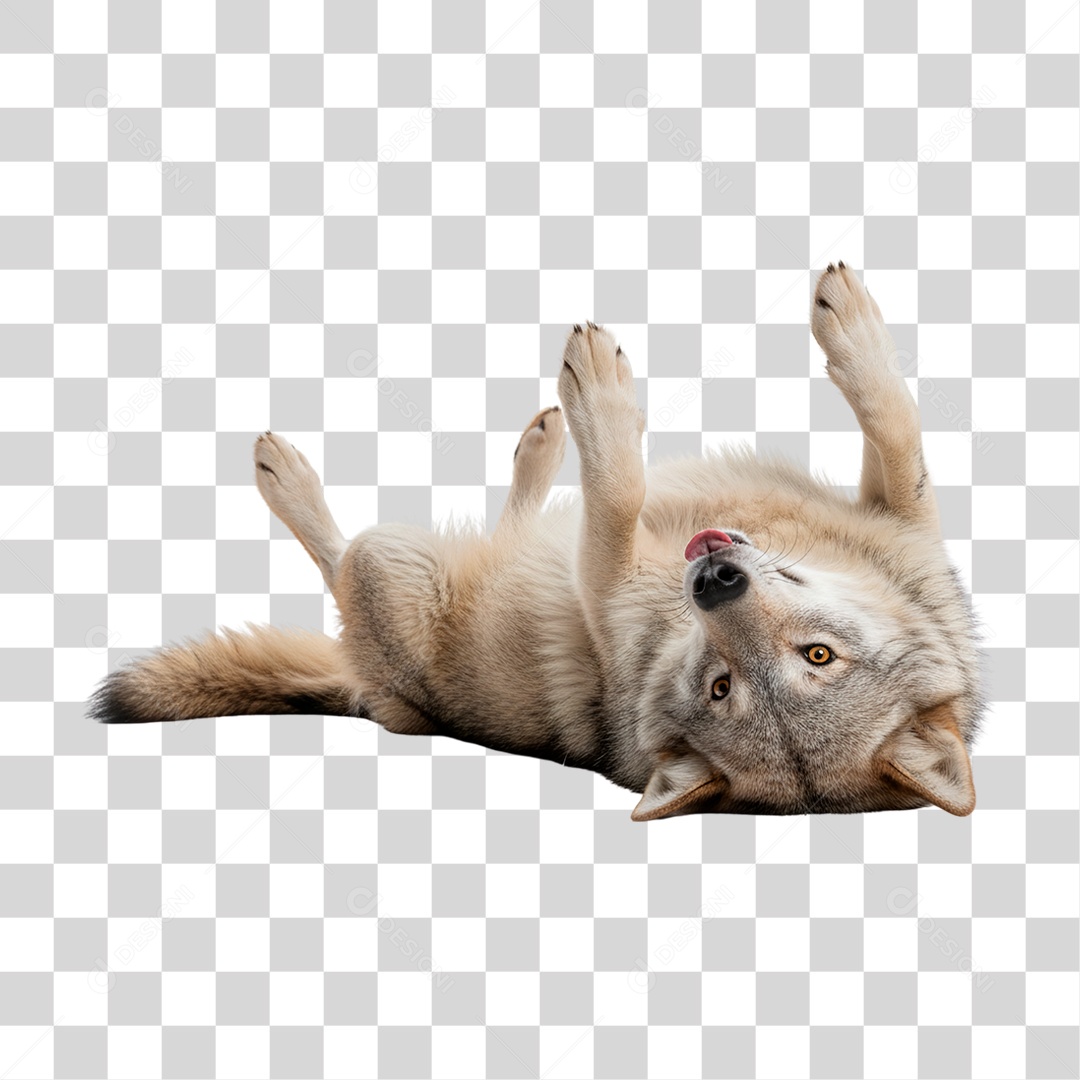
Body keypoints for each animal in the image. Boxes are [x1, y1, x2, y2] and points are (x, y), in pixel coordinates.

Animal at [90, 265, 981, 820]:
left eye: (812, 660)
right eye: (725, 686)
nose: (714, 581)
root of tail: (363, 689)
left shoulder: (606, 570)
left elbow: (617, 490)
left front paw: (600, 391)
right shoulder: (893, 507)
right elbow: (895, 419)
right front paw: (849, 313)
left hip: (391, 562)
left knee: (340, 559)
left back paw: (285, 471)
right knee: (504, 526)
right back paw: (540, 439)